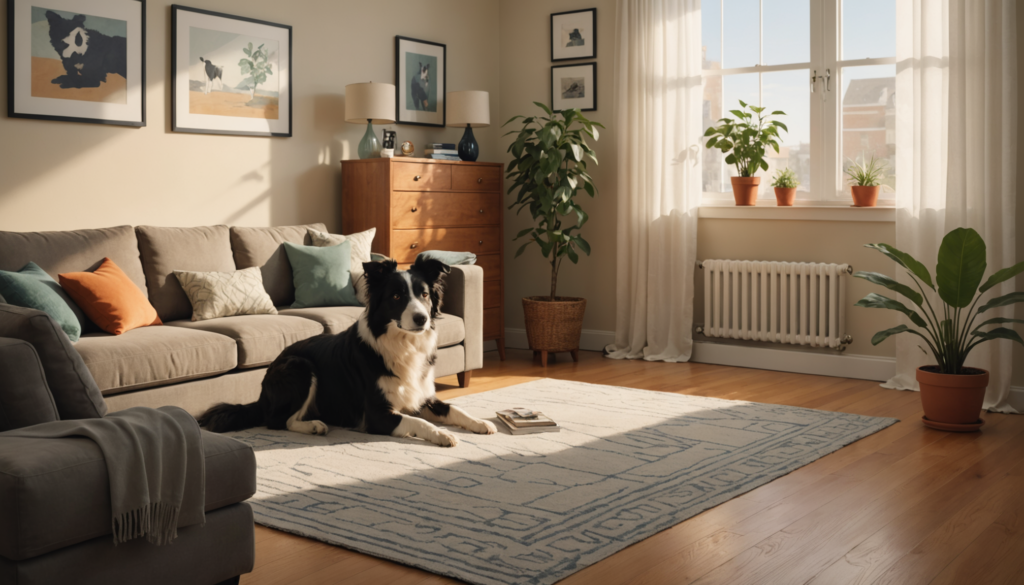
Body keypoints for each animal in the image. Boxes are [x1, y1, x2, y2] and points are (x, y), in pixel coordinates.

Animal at [198, 257, 495, 448]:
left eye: (424, 295)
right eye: (396, 296)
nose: (421, 319)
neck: (403, 344)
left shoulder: (423, 396)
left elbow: (455, 408)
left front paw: (482, 423)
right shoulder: (376, 415)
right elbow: (418, 422)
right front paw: (444, 435)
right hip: (301, 367)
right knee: (279, 421)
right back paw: (314, 425)